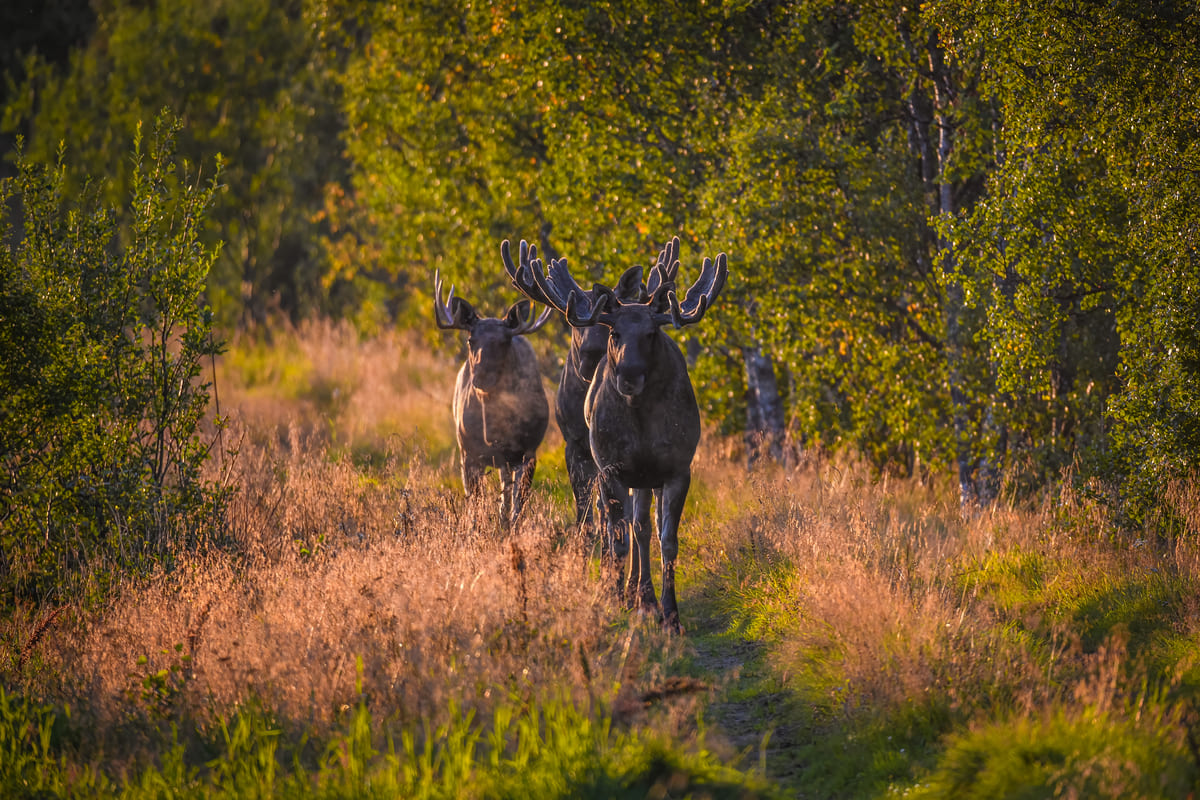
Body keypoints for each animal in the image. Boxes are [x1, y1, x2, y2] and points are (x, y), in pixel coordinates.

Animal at [434, 272, 549, 527]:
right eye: (470, 340)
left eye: (504, 341)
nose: (481, 377)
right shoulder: (468, 452)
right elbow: (475, 505)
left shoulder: (528, 451)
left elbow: (518, 503)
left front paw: (511, 528)